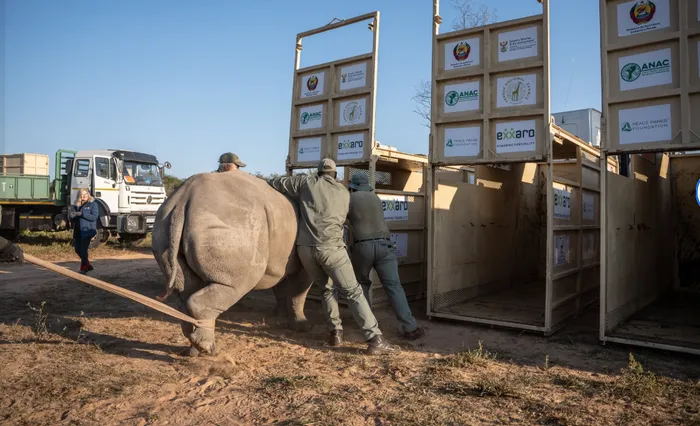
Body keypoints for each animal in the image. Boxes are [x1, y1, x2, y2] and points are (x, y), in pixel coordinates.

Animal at [151, 171, 312, 356]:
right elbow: (299, 293)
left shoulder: (280, 262)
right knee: (239, 283)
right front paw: (302, 326)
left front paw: (279, 316)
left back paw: (196, 350)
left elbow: (281, 288)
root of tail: (183, 200)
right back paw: (207, 349)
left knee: (186, 288)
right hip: (234, 224)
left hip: (164, 222)